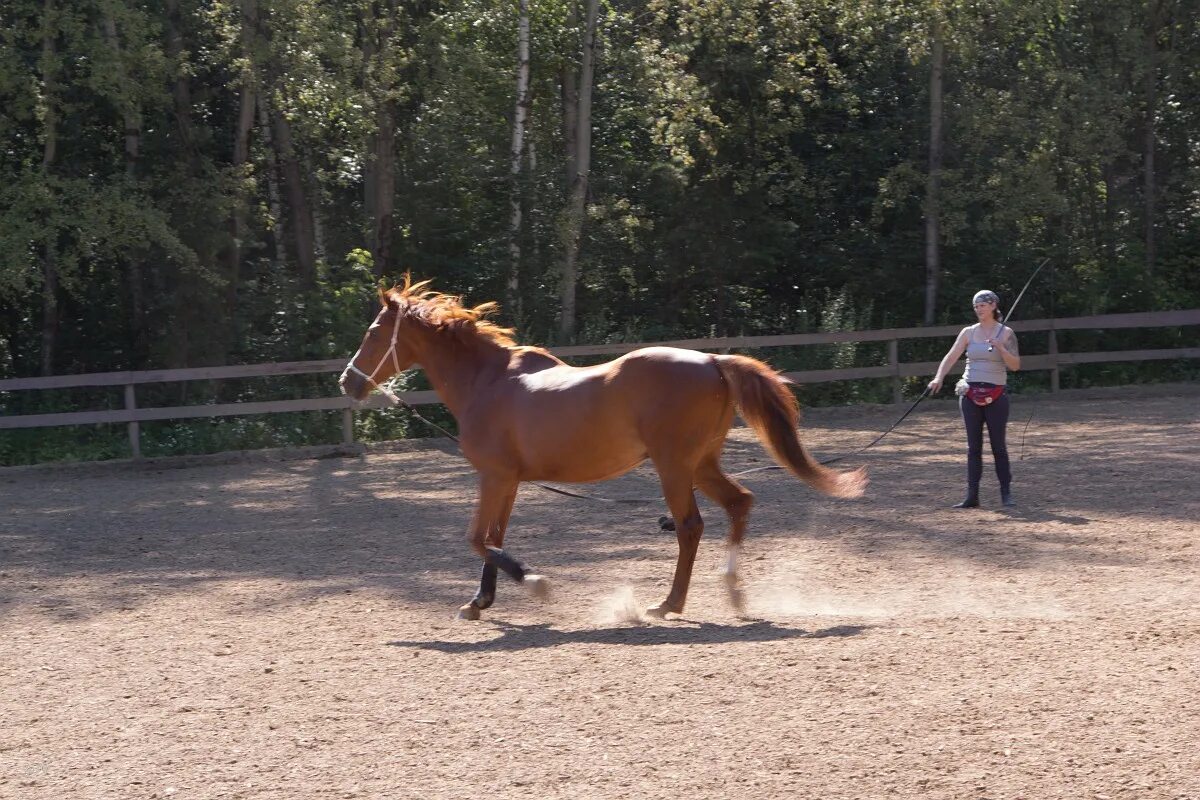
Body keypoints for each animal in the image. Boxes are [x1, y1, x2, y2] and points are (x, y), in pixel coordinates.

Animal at [343, 278, 868, 623]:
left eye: (372, 333)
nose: (348, 382)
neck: (488, 383)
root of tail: (713, 361)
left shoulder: (493, 476)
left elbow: (477, 539)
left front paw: (535, 583)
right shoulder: (507, 481)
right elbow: (493, 539)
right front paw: (479, 602)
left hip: (674, 466)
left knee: (690, 526)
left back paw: (668, 604)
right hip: (701, 464)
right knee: (740, 503)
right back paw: (732, 592)